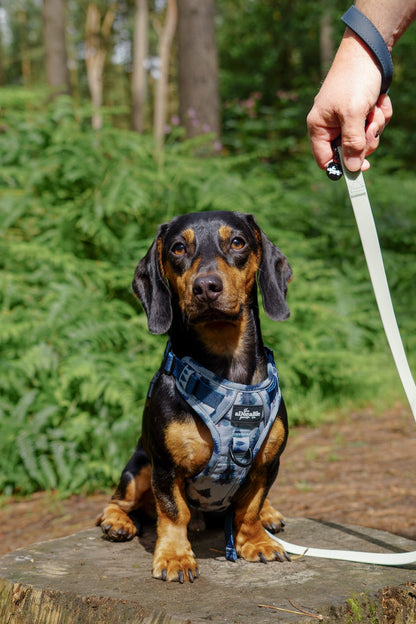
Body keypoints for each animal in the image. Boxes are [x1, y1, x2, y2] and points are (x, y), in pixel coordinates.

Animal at [97, 210, 292, 580]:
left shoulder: (267, 464)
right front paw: (175, 557)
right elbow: (174, 513)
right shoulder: (164, 468)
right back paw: (117, 522)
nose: (206, 286)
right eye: (177, 248)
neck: (227, 372)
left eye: (238, 242)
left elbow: (250, 507)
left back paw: (270, 515)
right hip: (139, 465)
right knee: (119, 500)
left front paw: (256, 540)